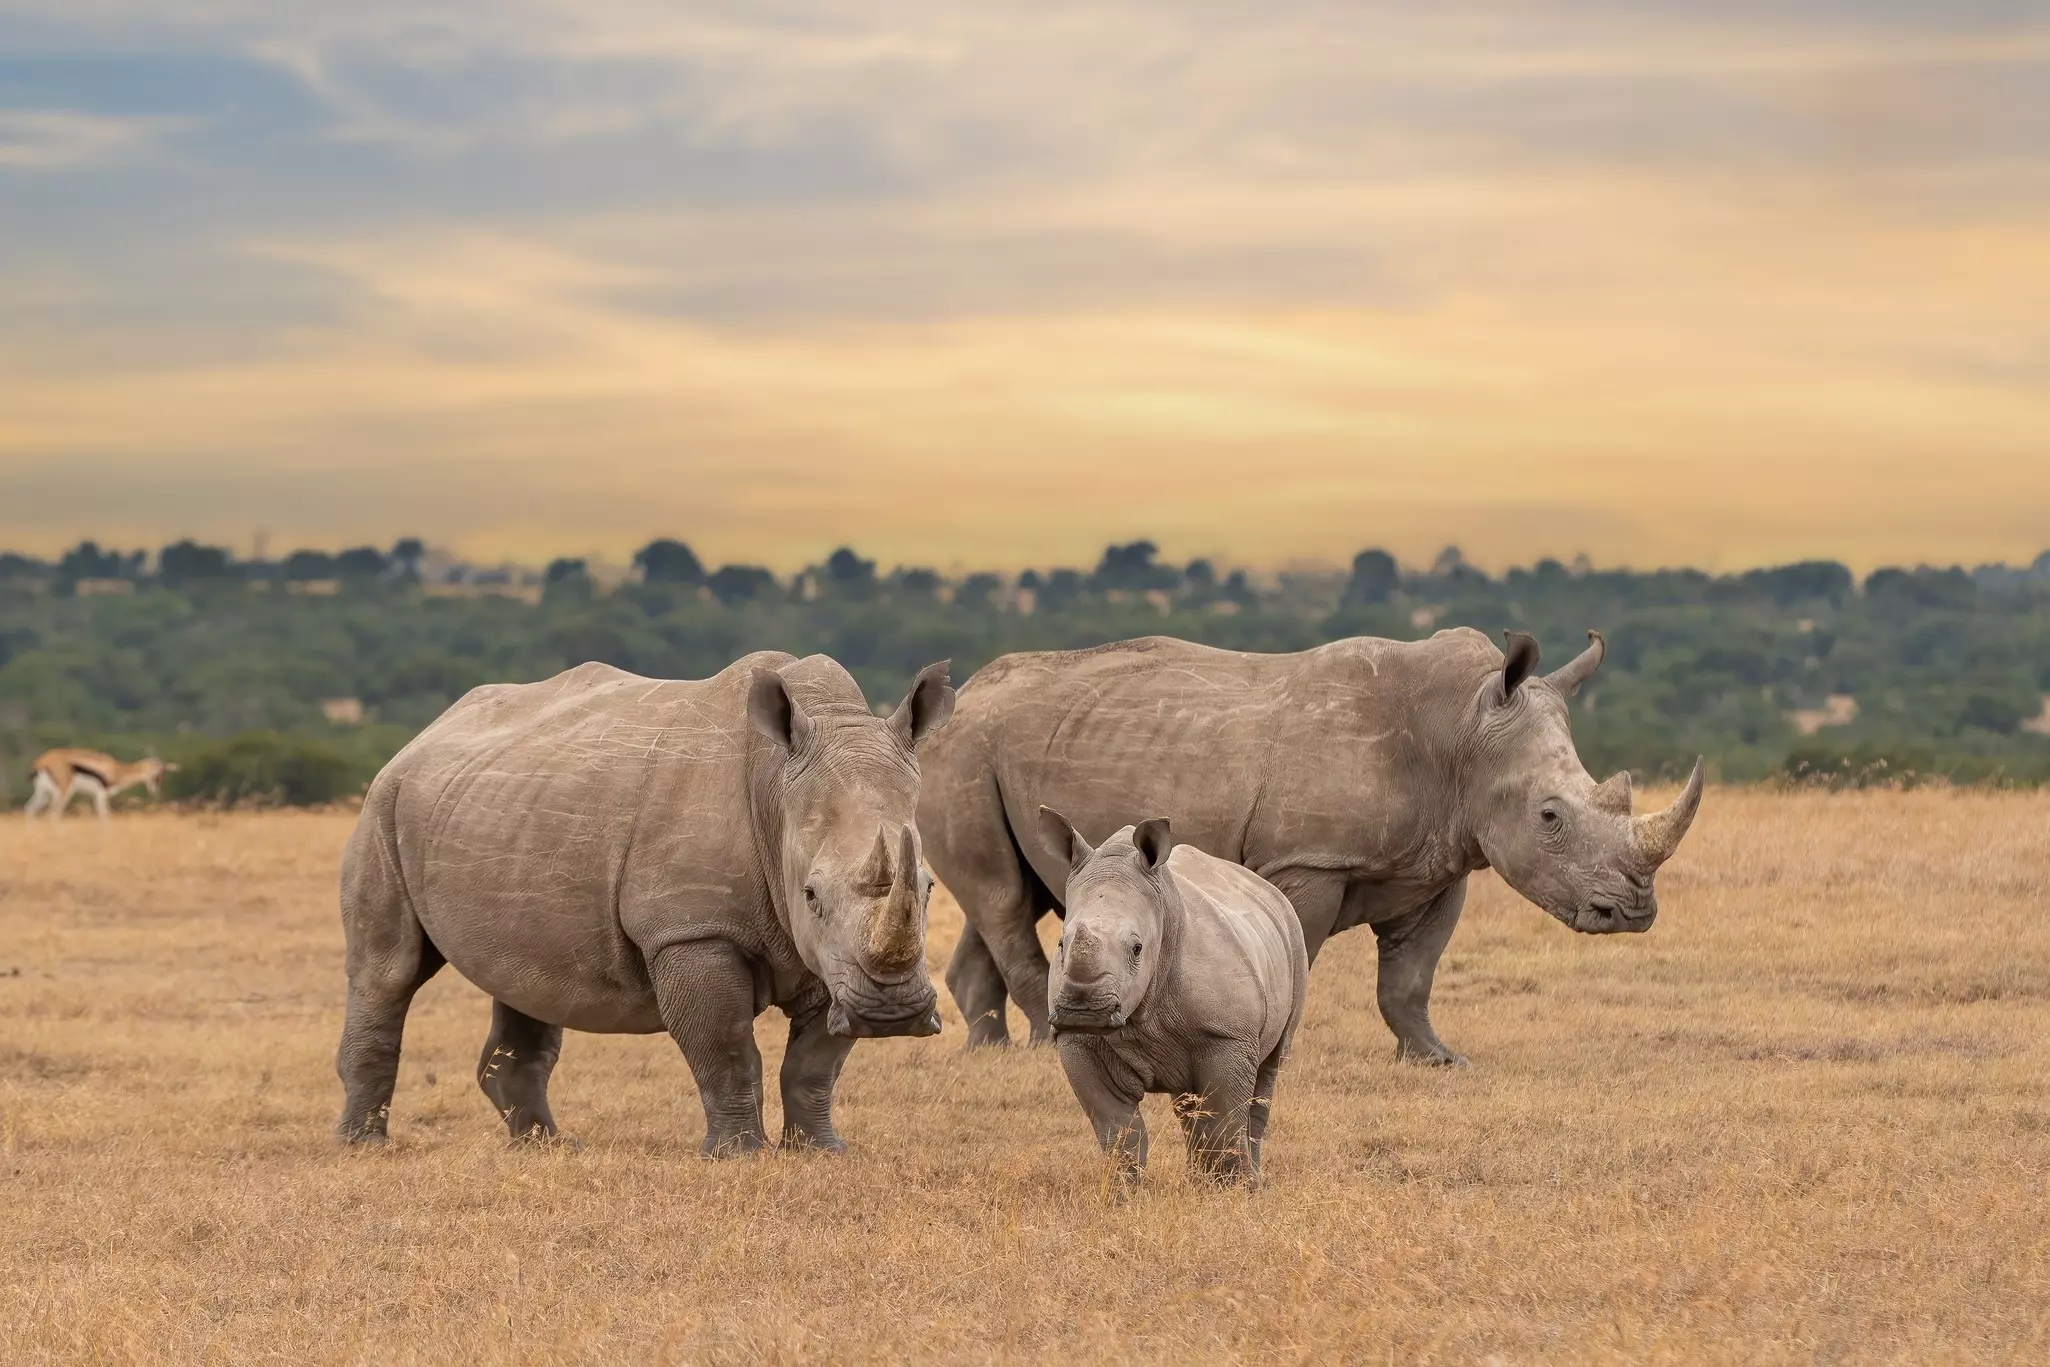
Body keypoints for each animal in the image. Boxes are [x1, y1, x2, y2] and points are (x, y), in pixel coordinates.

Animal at [334, 652, 956, 1156]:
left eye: (928, 888)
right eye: (811, 895)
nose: (892, 1014)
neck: (776, 787)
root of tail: (423, 734)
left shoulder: (830, 956)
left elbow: (816, 1063)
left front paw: (820, 1152)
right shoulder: (692, 930)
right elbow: (726, 1048)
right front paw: (737, 1156)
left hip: (494, 811)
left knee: (522, 979)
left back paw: (547, 1147)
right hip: (383, 804)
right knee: (387, 971)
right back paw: (364, 1148)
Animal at [920, 628, 1702, 1061]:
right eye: (1549, 816)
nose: (1633, 911)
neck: (1461, 731)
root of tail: (955, 703)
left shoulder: (1442, 862)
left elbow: (1411, 978)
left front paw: (1438, 1060)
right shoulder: (1309, 861)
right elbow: (1300, 952)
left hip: (1014, 752)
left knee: (1016, 895)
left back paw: (989, 1051)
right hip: (965, 754)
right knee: (1000, 897)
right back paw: (1043, 1046)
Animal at [1041, 809, 1306, 1185]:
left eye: (1137, 949)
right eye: (1061, 944)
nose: (1084, 1010)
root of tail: (1269, 890)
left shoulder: (1229, 1034)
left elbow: (1224, 1121)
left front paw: (1230, 1191)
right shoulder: (1076, 1039)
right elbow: (1117, 1129)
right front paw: (1124, 1190)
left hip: (1294, 937)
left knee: (1267, 1072)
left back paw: (1248, 1181)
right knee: (1189, 1103)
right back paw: (1199, 1178)